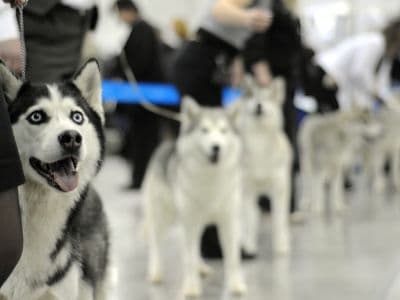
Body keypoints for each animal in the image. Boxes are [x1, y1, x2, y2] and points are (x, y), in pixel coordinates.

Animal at [142, 98, 245, 298]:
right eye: (204, 130)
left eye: (224, 131)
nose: (216, 147)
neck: (211, 180)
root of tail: (167, 144)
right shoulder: (189, 222)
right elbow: (188, 259)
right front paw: (191, 288)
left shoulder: (229, 222)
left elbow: (232, 259)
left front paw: (236, 285)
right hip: (164, 217)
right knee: (156, 243)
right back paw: (156, 272)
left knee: (196, 249)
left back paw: (202, 268)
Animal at [236, 77, 292, 255]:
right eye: (254, 97)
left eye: (267, 99)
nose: (259, 105)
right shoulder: (248, 191)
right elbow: (249, 220)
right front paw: (248, 246)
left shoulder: (279, 190)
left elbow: (278, 220)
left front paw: (281, 247)